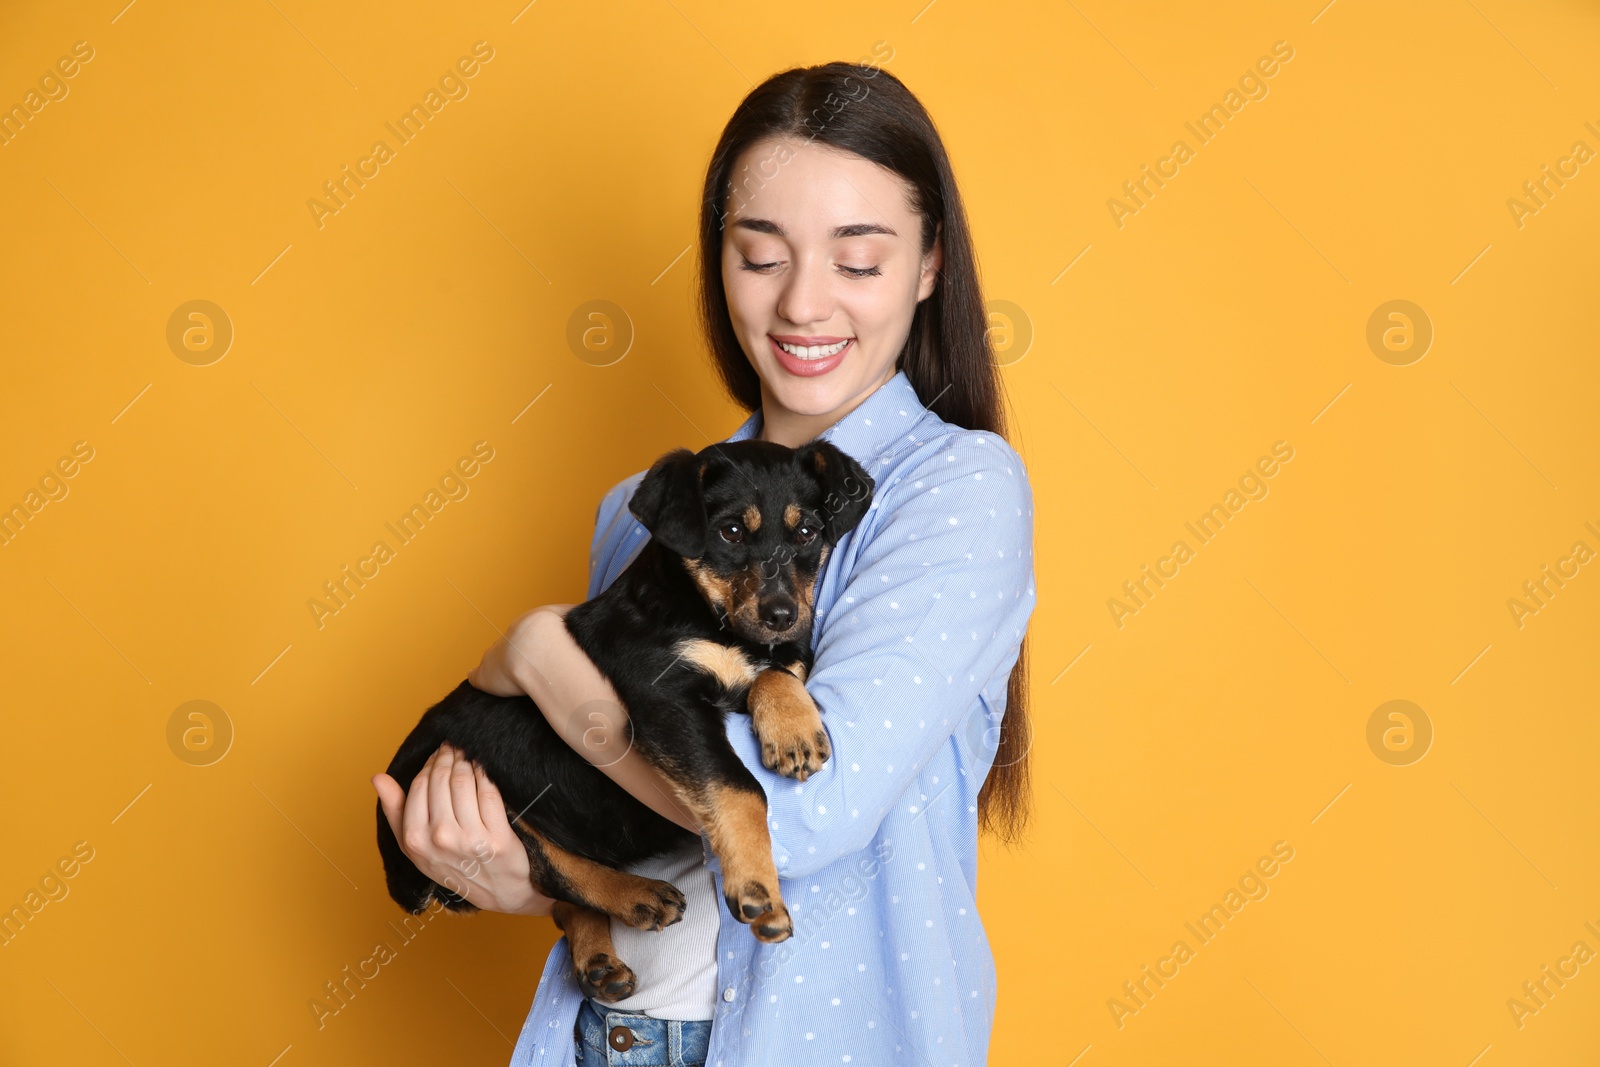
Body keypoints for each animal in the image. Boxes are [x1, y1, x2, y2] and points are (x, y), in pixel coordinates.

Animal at [374, 435, 876, 1004]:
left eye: (807, 533)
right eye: (729, 532)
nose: (782, 615)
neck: (709, 618)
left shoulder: (783, 653)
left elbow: (776, 673)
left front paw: (793, 730)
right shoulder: (664, 701)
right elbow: (741, 788)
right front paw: (758, 890)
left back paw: (601, 961)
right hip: (482, 788)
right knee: (551, 869)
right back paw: (638, 895)